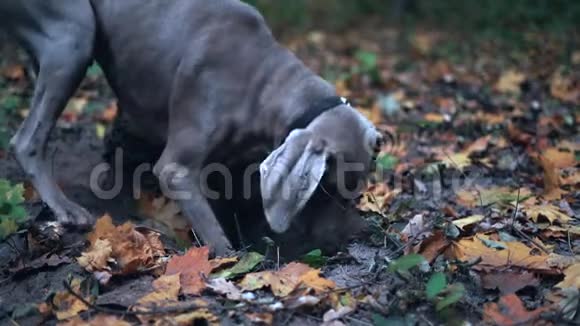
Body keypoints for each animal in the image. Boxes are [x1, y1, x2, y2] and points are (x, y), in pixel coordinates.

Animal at [1, 0, 386, 255]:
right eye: (326, 191)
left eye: (355, 193)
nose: (355, 238)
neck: (261, 79)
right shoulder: (177, 166)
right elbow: (213, 229)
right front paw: (234, 261)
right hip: (72, 35)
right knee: (26, 139)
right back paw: (66, 209)